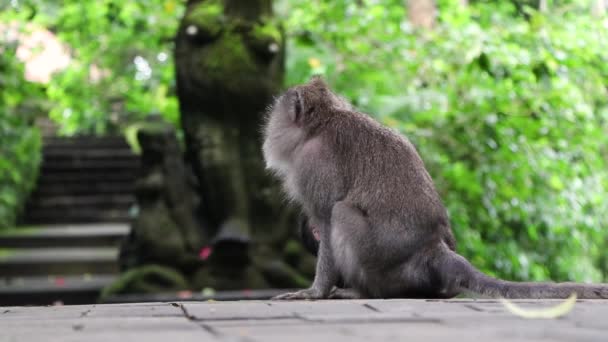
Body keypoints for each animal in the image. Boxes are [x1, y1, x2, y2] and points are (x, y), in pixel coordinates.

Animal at [264, 77, 608, 300]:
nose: (270, 122)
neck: (323, 124)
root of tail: (432, 248)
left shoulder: (313, 166)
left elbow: (324, 218)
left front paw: (315, 291)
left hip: (379, 259)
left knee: (342, 213)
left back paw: (365, 292)